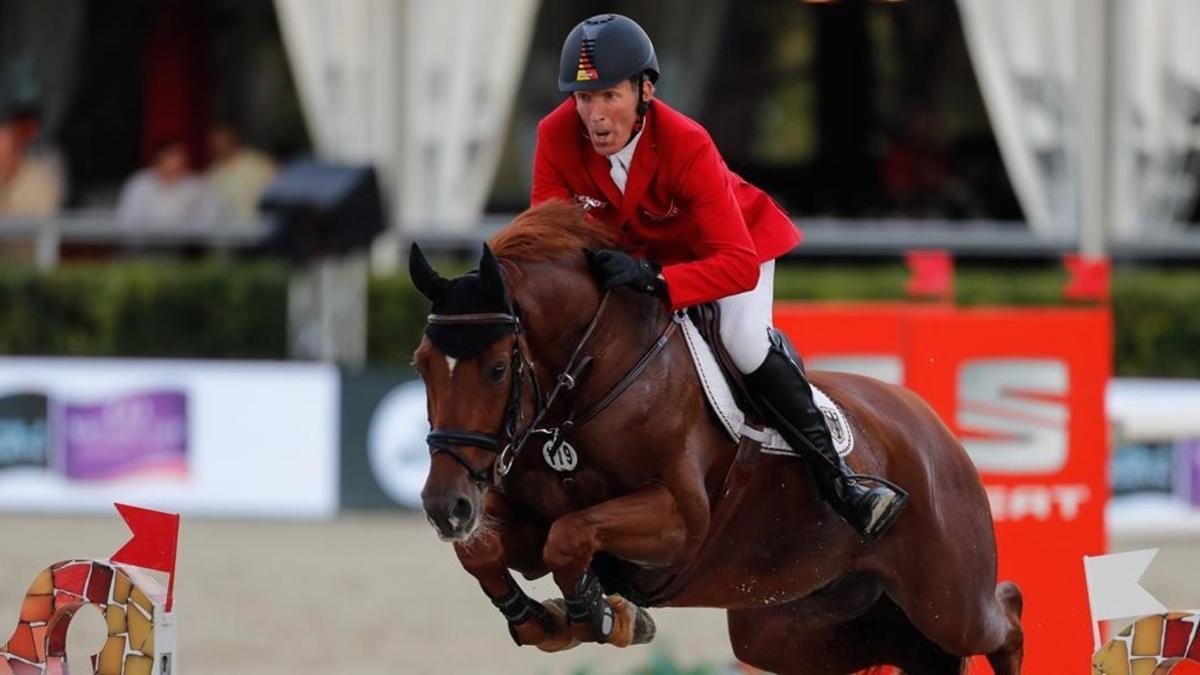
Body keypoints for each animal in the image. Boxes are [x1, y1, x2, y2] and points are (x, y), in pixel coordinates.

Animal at [410, 200, 1022, 672]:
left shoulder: (678, 522)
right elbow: (486, 549)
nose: (446, 508)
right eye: (420, 365)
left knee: (1006, 619)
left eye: (496, 369)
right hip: (795, 626)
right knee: (908, 649)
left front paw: (603, 614)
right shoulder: (522, 519)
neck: (587, 389)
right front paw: (554, 620)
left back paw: (867, 501)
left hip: (949, 598)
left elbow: (571, 534)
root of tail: (935, 431)